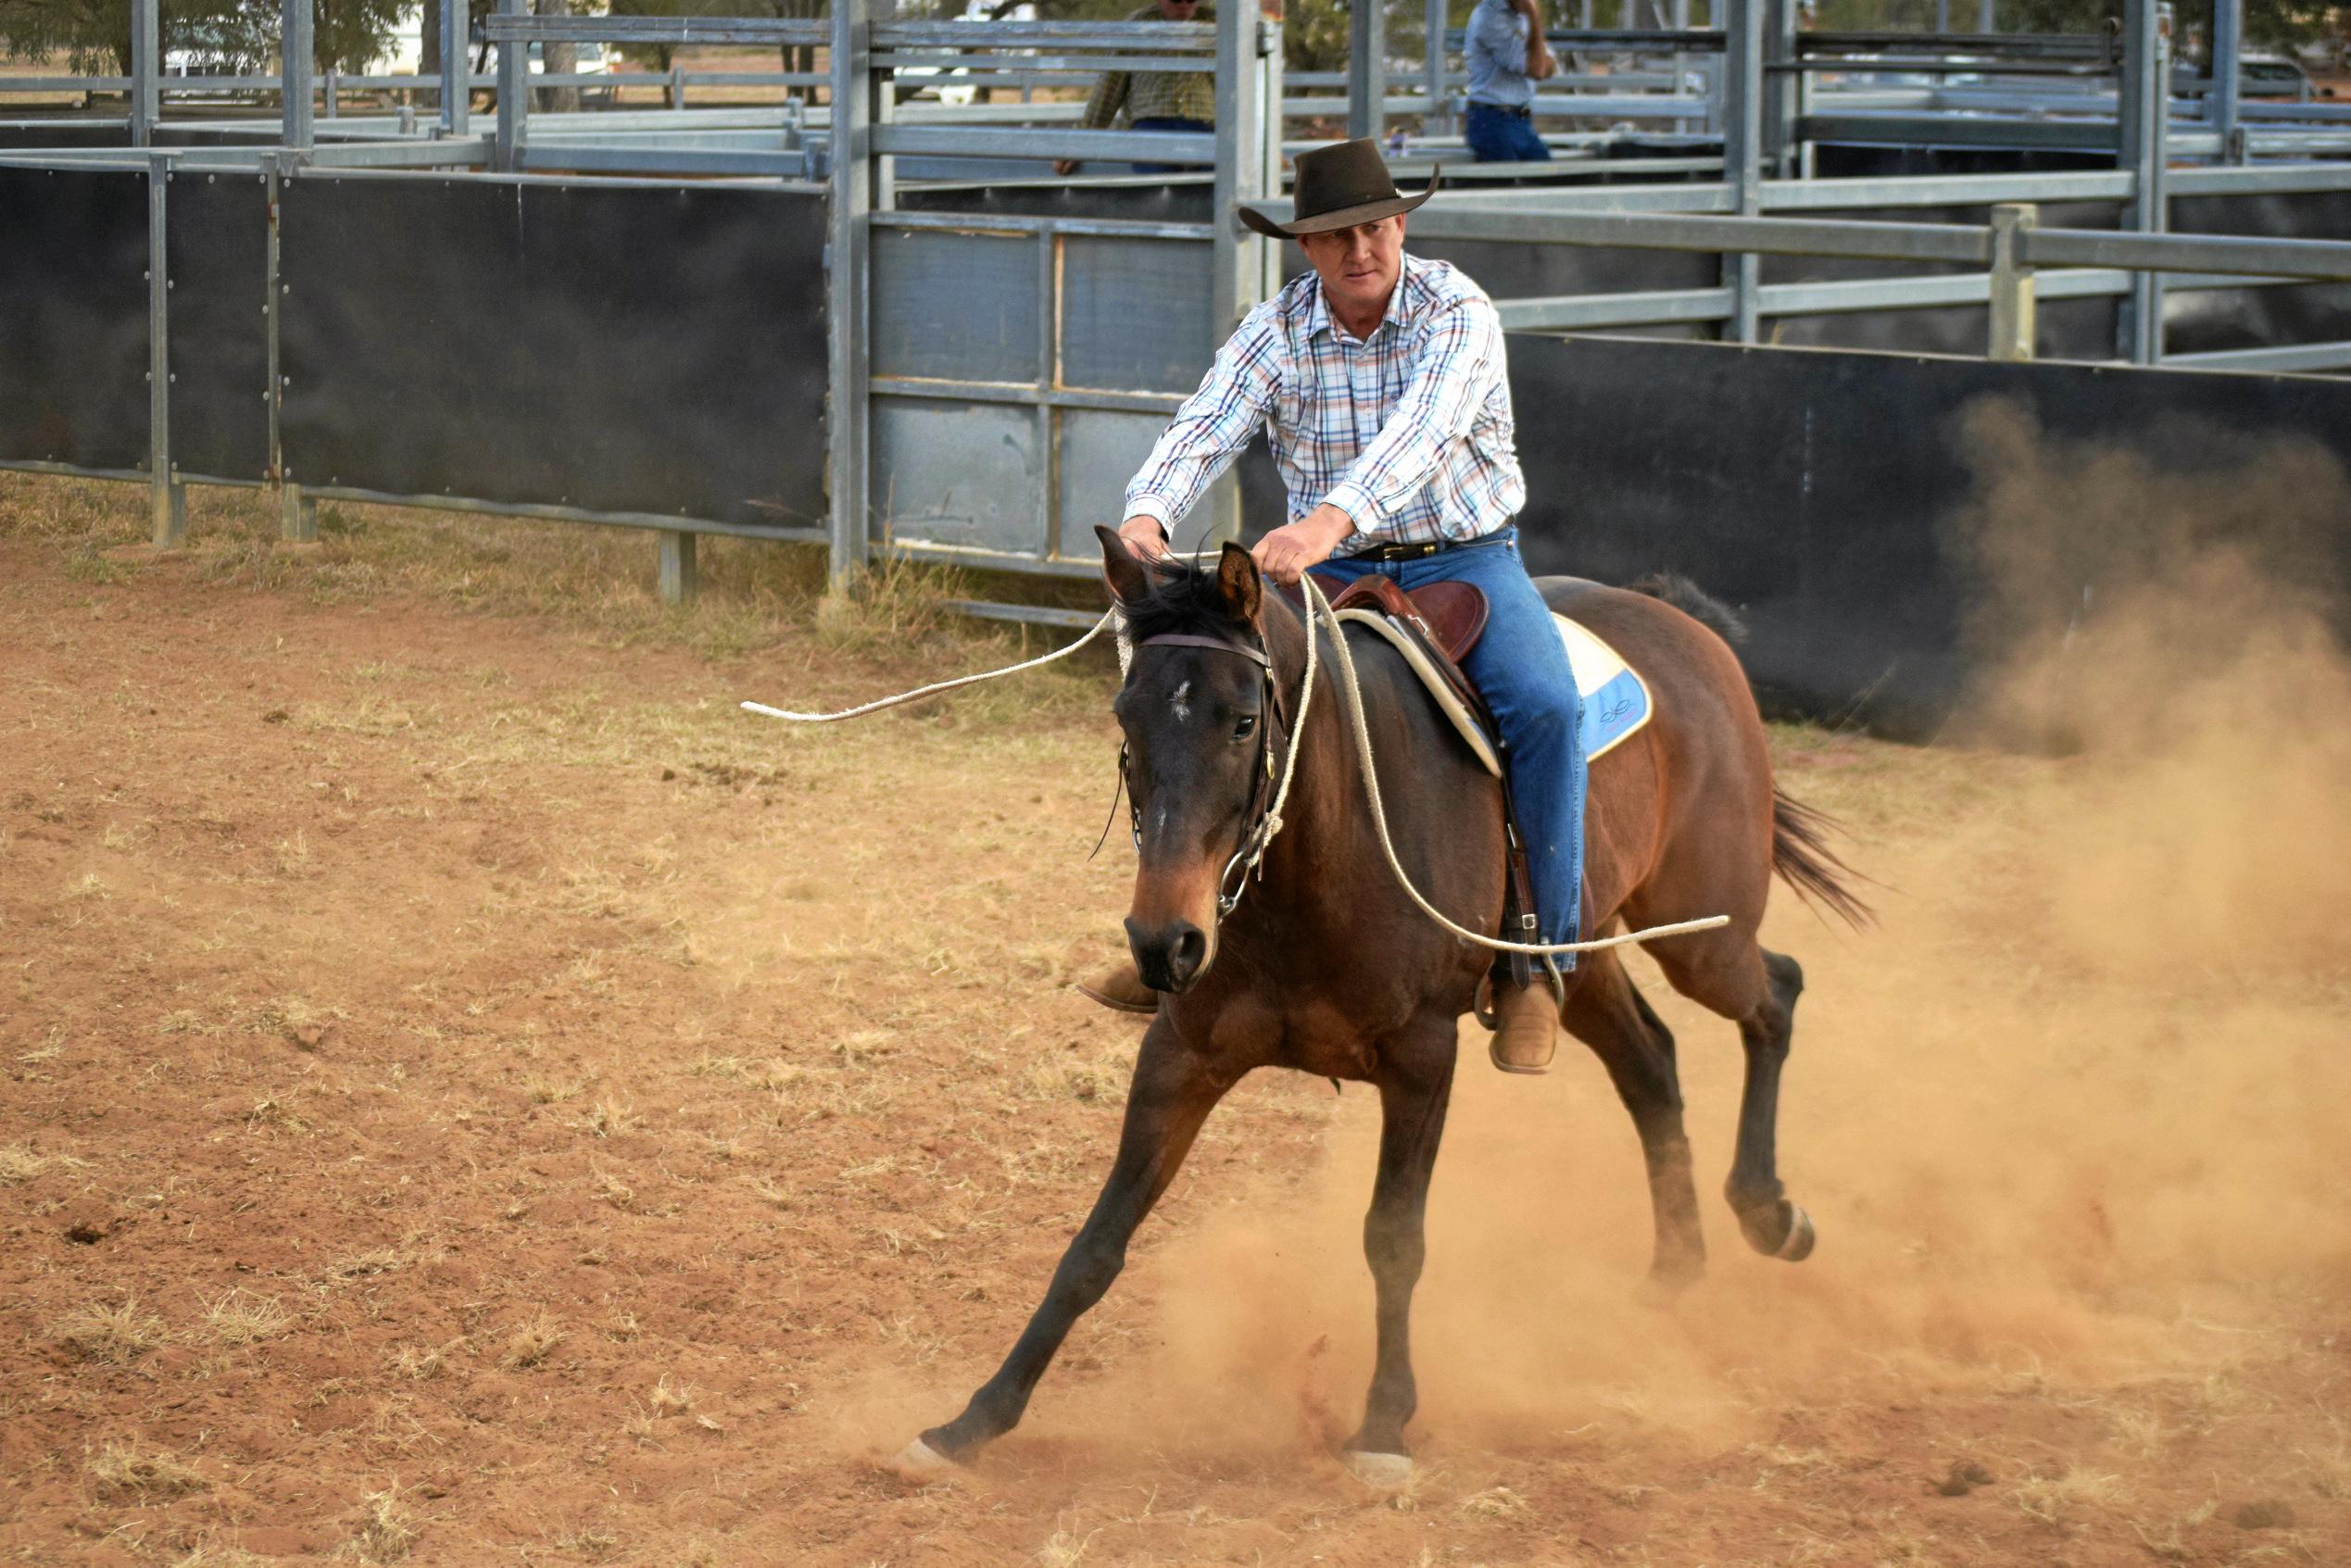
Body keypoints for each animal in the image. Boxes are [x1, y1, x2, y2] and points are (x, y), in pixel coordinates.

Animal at [888, 526, 1862, 1486]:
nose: (1165, 941)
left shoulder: (1423, 1059)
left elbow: (1395, 1240)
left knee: (1775, 994)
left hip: (1701, 928)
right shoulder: (1181, 1052)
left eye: (1244, 721)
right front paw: (973, 1420)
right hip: (1580, 958)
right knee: (1651, 1061)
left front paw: (1386, 1425)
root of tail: (1692, 634)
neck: (1321, 854)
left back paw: (1772, 1214)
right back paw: (1675, 1270)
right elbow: (1098, 1240)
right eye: (1127, 717)